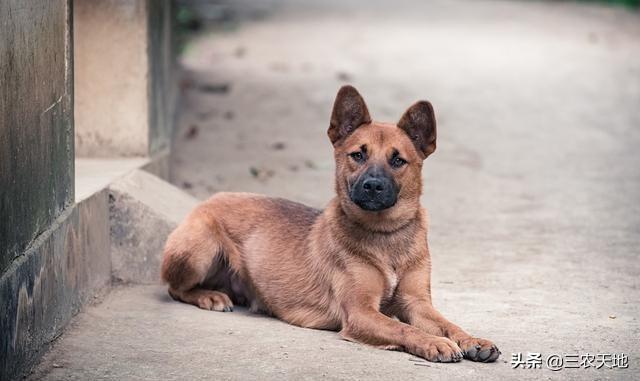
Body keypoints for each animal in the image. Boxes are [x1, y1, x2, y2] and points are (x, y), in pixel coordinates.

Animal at [160, 85, 500, 362]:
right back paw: (210, 296)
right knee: (174, 288)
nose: (373, 186)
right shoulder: (361, 313)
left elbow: (448, 323)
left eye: (398, 160)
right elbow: (403, 329)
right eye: (358, 155)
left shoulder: (417, 304)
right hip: (199, 248)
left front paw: (472, 339)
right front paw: (434, 343)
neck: (385, 235)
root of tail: (207, 200)